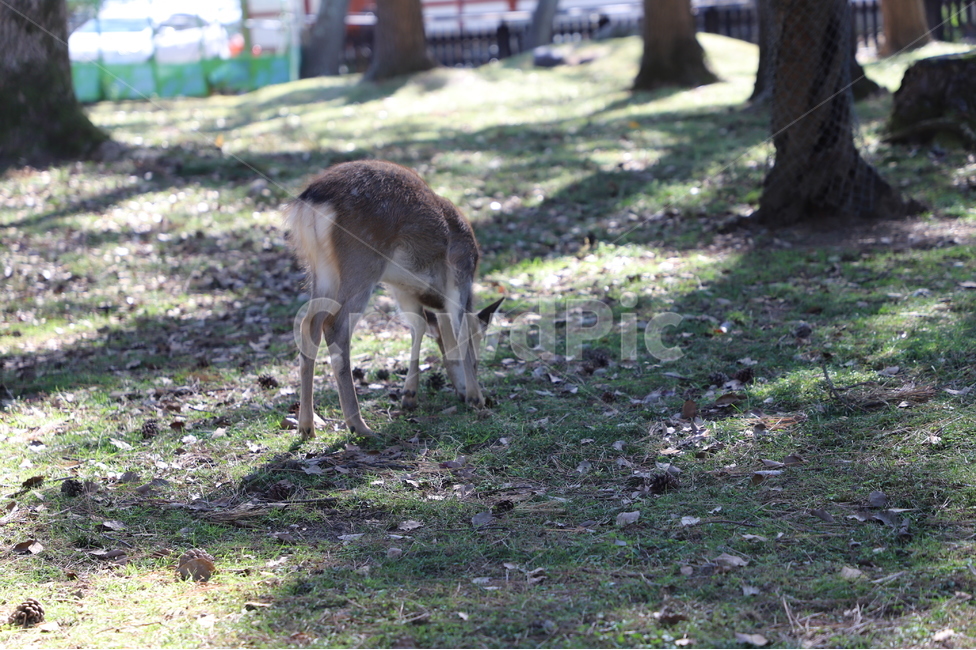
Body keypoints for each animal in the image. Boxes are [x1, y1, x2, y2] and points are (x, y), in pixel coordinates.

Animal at [285, 160, 503, 440]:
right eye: (480, 343)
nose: (465, 392)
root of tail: (310, 202)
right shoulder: (460, 273)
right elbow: (459, 327)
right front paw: (477, 398)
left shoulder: (403, 291)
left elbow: (419, 326)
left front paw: (410, 395)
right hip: (361, 263)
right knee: (335, 326)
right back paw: (359, 426)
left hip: (321, 271)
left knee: (308, 324)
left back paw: (306, 426)